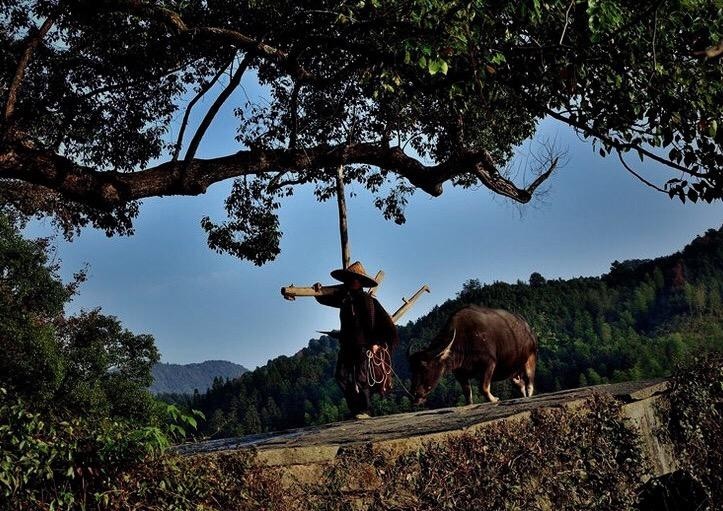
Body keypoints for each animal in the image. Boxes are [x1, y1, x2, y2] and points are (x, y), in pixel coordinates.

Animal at [408, 306, 536, 406]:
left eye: (425, 368)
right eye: (413, 370)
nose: (414, 394)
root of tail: (527, 327)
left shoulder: (489, 363)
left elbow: (483, 387)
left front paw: (494, 399)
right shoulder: (460, 373)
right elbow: (467, 393)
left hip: (530, 357)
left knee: (529, 381)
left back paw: (529, 394)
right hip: (513, 371)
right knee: (520, 384)